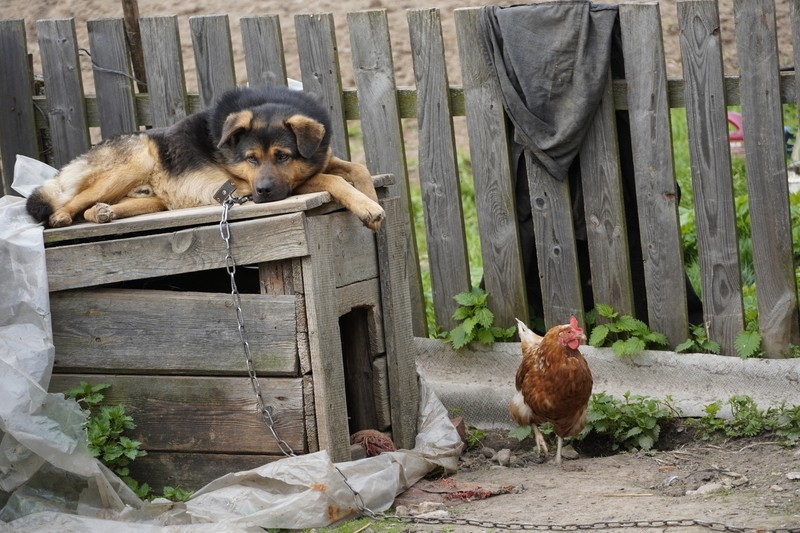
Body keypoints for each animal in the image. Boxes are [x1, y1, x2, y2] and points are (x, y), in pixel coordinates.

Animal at [26, 85, 386, 231]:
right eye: (251, 159)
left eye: (283, 156)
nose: (263, 193)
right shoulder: (255, 185)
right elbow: (332, 178)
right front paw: (366, 206)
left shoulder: (319, 161)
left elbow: (356, 167)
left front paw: (370, 196)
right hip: (134, 162)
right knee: (68, 202)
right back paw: (63, 217)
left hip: (155, 199)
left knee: (101, 206)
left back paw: (103, 213)